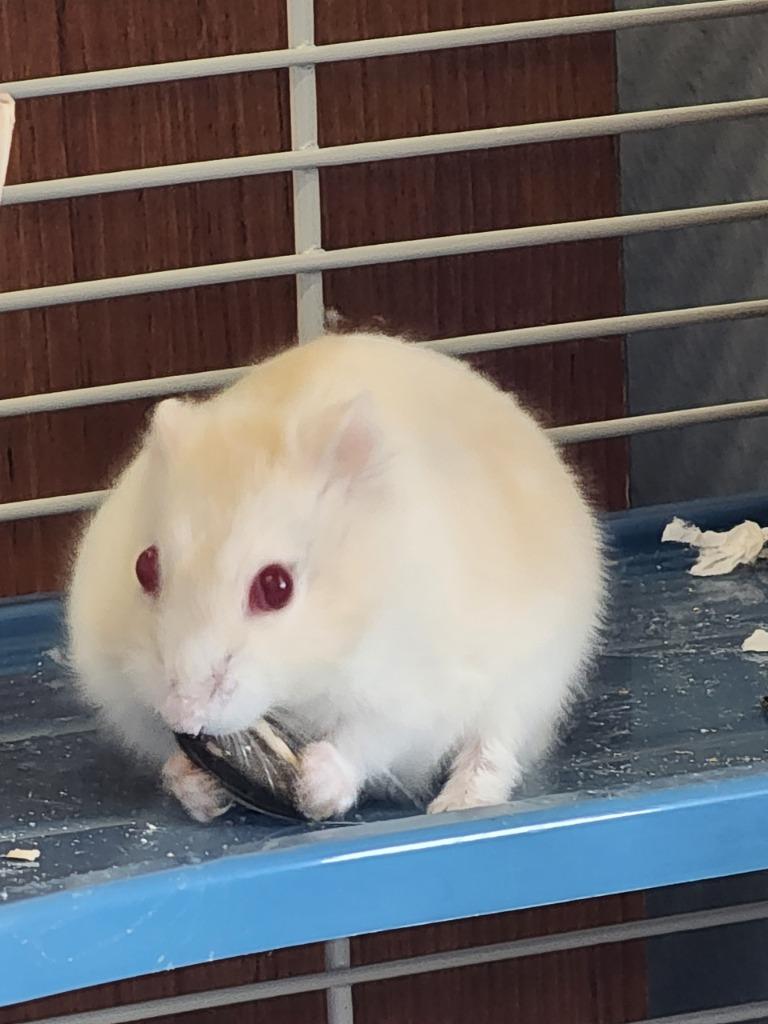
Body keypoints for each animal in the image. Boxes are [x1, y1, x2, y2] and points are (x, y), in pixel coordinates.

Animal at [66, 332, 603, 823]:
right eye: (144, 566)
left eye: (276, 587)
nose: (185, 715)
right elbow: (166, 754)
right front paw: (199, 785)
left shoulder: (412, 690)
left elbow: (366, 740)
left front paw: (315, 787)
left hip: (531, 684)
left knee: (491, 750)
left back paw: (455, 806)